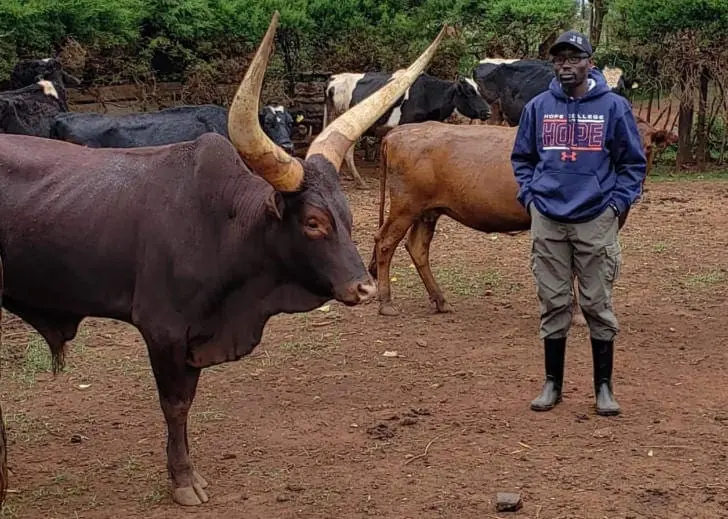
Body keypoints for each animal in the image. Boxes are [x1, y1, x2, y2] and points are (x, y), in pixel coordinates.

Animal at [0, 13, 447, 510]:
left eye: (347, 214)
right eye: (312, 222)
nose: (364, 287)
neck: (223, 229)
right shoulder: (164, 330)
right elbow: (175, 405)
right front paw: (183, 480)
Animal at [369, 118, 671, 319]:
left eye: (648, 147)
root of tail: (398, 132)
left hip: (427, 211)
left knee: (417, 248)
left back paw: (441, 300)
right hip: (406, 206)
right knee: (385, 243)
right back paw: (386, 303)